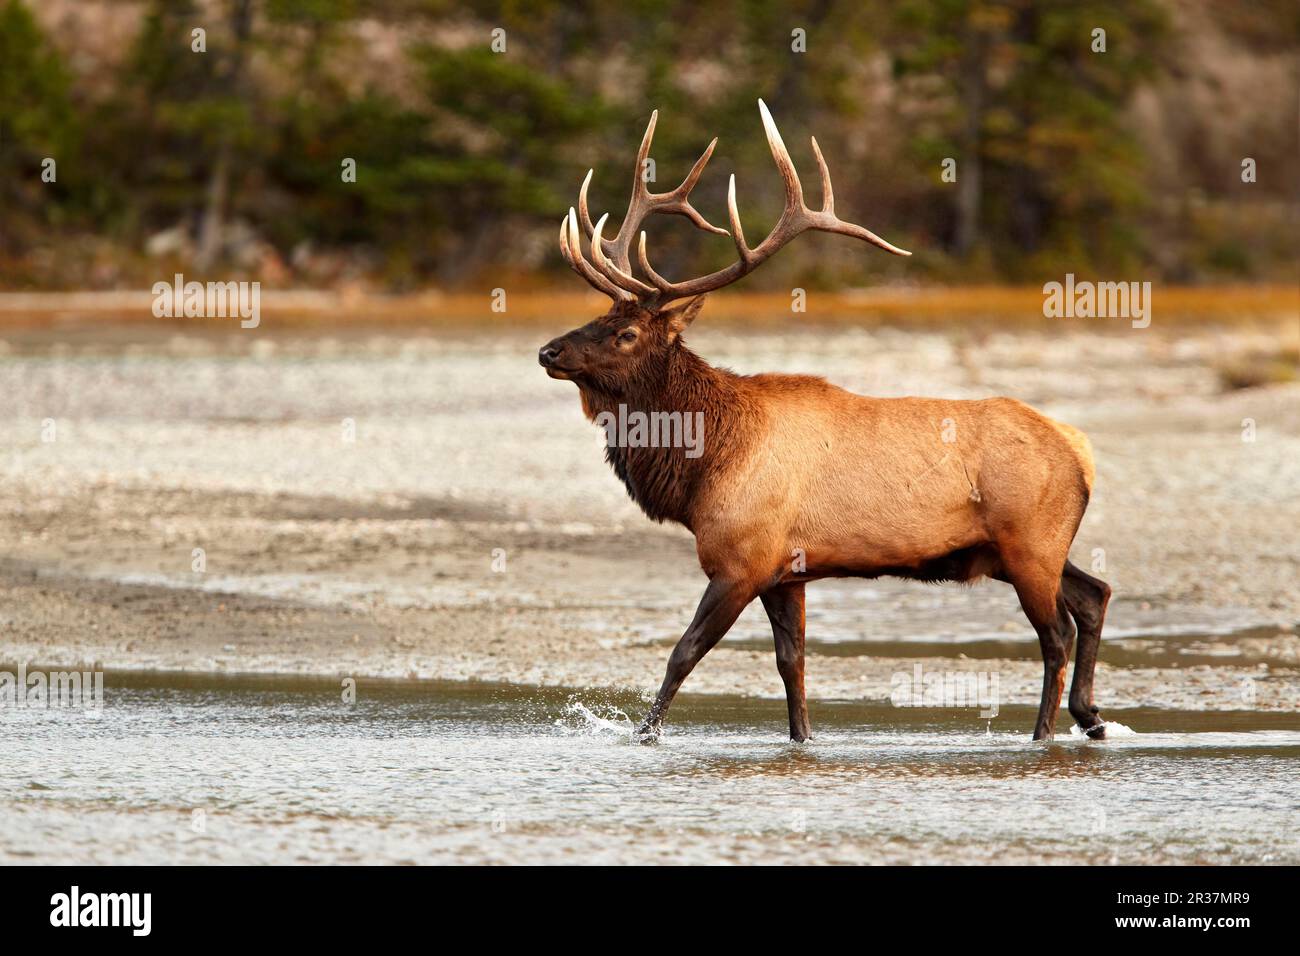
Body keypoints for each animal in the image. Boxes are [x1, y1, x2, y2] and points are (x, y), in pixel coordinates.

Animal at [543, 100, 1112, 743]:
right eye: (598, 316)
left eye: (627, 332)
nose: (547, 351)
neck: (703, 466)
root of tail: (1079, 449)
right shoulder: (786, 574)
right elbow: (792, 666)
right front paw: (802, 740)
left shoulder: (742, 560)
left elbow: (683, 653)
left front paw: (643, 736)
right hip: (1022, 547)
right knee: (1094, 593)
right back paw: (1091, 716)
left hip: (1029, 541)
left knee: (1056, 632)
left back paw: (1043, 735)